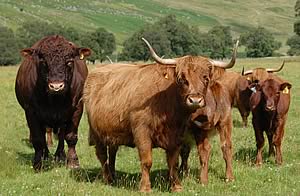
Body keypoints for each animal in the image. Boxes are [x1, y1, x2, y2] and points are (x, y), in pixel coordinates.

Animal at [15, 34, 90, 170]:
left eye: (69, 61)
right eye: (43, 62)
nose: (56, 86)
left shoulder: (77, 108)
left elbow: (71, 136)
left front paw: (73, 162)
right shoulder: (31, 111)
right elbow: (38, 138)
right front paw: (38, 163)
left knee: (61, 135)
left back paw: (60, 155)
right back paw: (46, 155)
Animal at [83, 37, 238, 192]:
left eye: (206, 78)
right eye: (181, 79)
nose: (195, 100)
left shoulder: (177, 136)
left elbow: (173, 161)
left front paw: (176, 186)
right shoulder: (142, 132)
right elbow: (147, 161)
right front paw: (145, 188)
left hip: (113, 132)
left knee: (112, 151)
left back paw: (113, 176)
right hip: (97, 132)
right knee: (102, 155)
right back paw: (108, 178)